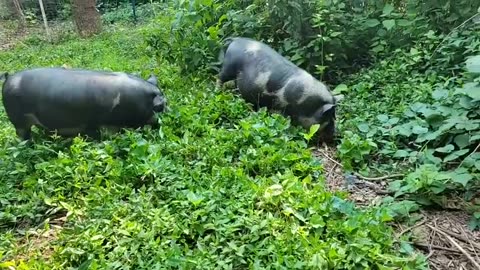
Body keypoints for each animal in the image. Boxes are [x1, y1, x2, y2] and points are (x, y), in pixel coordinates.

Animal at [1, 67, 167, 140]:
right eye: (159, 107)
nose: (159, 123)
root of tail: (9, 77)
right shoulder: (106, 125)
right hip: (18, 121)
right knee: (22, 135)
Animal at [216, 37, 344, 143]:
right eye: (328, 118)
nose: (335, 135)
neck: (304, 103)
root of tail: (235, 40)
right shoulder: (281, 106)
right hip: (228, 67)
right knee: (219, 77)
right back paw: (218, 91)